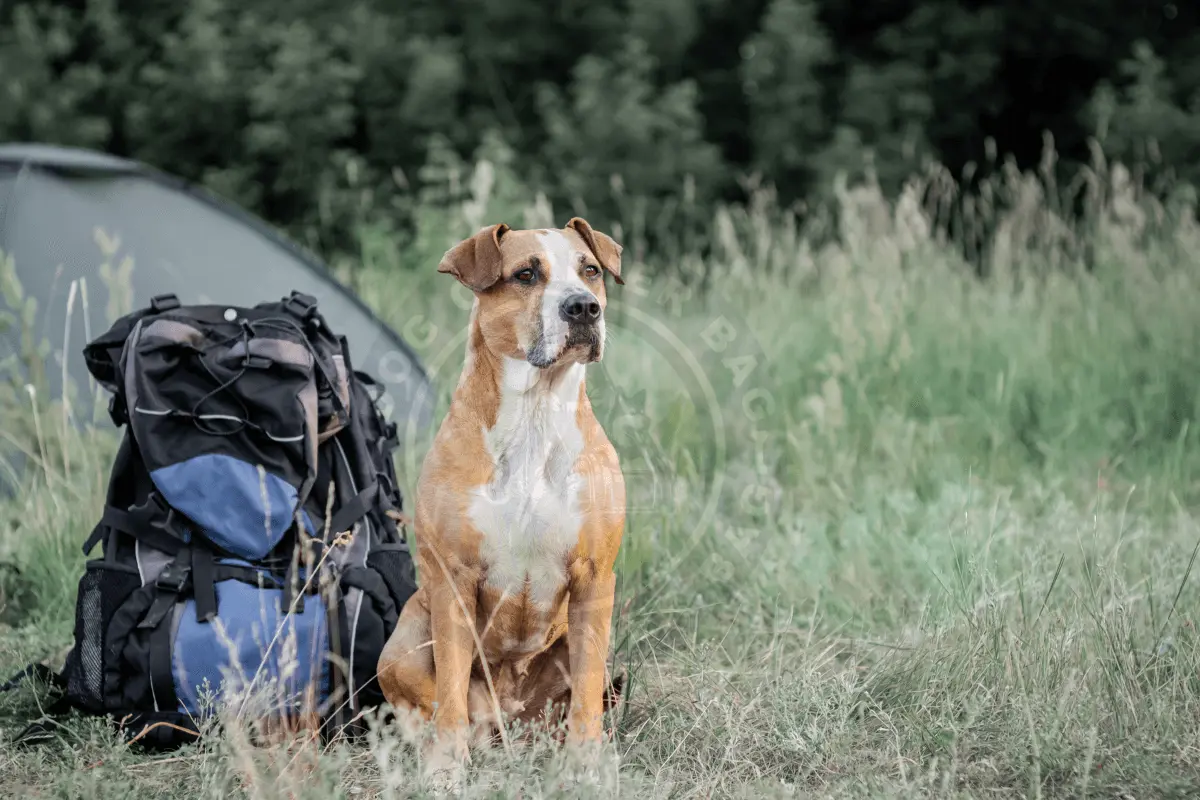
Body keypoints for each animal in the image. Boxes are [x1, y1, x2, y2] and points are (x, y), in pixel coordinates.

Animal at [376, 219, 628, 782]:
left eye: (590, 270)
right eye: (526, 274)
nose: (583, 308)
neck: (535, 414)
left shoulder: (595, 578)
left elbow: (585, 694)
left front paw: (585, 767)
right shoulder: (453, 580)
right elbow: (449, 689)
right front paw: (446, 771)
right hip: (403, 641)